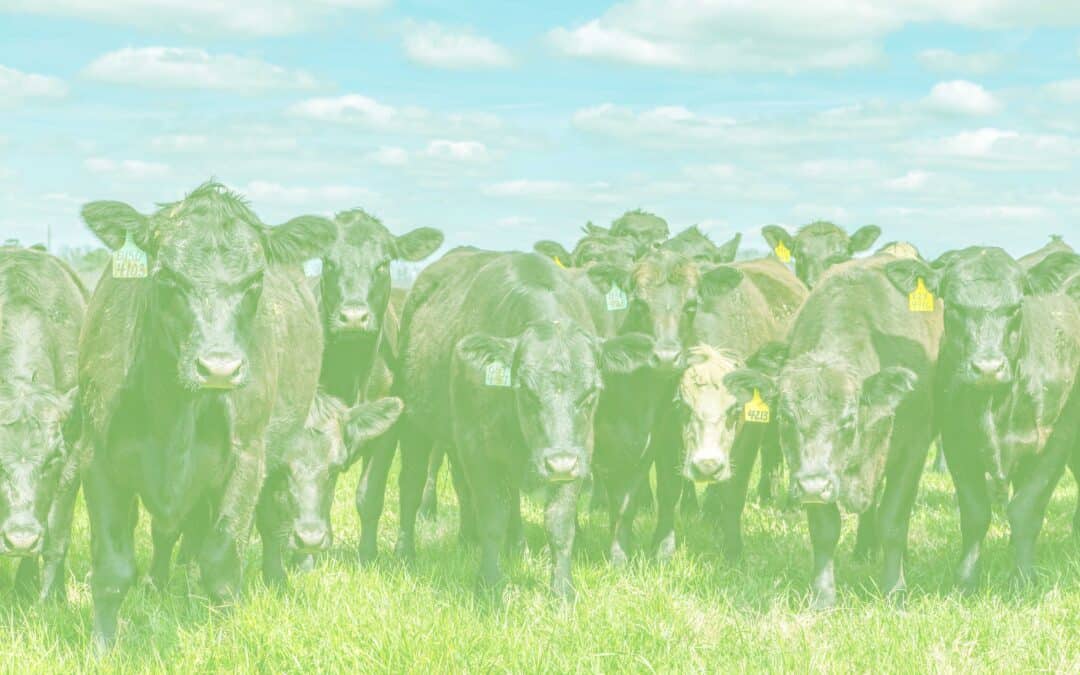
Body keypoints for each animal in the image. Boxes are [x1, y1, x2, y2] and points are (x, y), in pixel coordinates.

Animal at [76, 182, 336, 647]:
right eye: (165, 276)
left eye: (255, 281)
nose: (219, 368)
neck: (171, 415)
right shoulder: (98, 459)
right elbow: (111, 569)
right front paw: (102, 647)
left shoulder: (247, 459)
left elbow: (222, 564)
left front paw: (225, 637)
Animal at [315, 208, 442, 561]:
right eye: (328, 261)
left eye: (383, 263)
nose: (353, 317)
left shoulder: (388, 430)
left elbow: (369, 494)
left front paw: (367, 555)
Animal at [395, 249, 652, 598]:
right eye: (527, 391)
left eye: (591, 392)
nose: (559, 463)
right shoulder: (476, 447)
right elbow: (492, 515)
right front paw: (489, 583)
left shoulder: (579, 450)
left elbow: (559, 523)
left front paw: (563, 590)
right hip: (414, 422)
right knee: (411, 485)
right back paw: (405, 553)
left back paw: (492, 543)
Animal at [729, 253, 941, 608]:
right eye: (785, 418)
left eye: (848, 420)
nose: (814, 486)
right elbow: (825, 530)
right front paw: (823, 596)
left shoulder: (914, 448)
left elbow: (894, 521)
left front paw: (894, 590)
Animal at [884, 248, 1080, 590]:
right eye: (954, 306)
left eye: (1016, 306)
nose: (987, 367)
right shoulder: (957, 440)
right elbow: (975, 513)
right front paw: (966, 579)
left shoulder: (1057, 439)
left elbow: (1026, 509)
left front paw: (1023, 577)